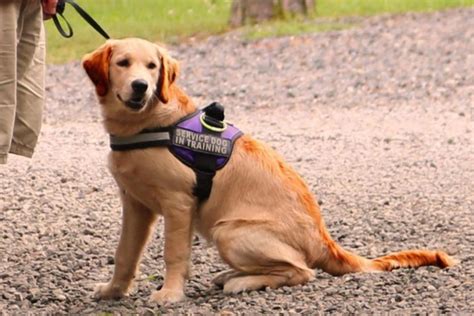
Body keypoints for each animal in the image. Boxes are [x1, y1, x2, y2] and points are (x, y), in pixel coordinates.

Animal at [82, 38, 456, 304]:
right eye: (123, 63)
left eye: (152, 66)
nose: (141, 86)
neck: (149, 124)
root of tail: (324, 241)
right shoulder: (135, 205)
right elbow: (125, 254)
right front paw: (114, 291)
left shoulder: (178, 204)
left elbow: (173, 254)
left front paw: (170, 294)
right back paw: (231, 276)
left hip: (228, 230)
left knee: (301, 271)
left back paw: (241, 281)